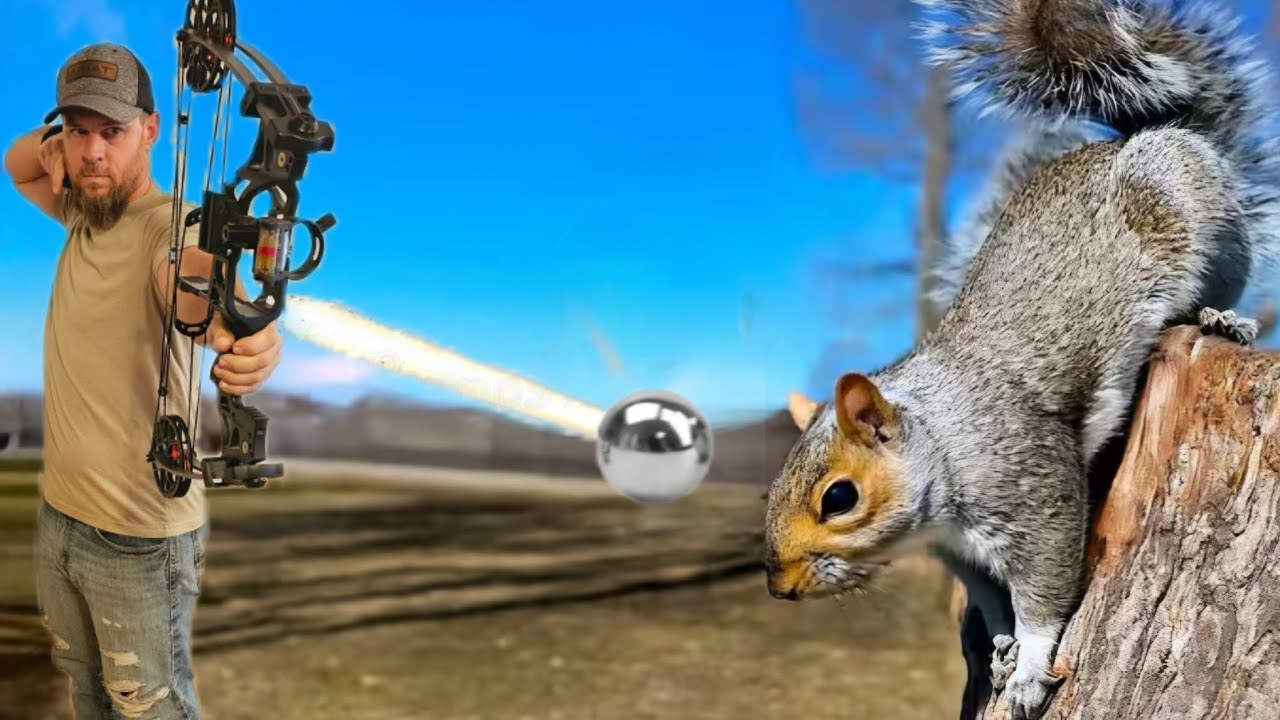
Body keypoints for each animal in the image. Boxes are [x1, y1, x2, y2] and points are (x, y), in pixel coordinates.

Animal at [763, 1, 1280, 719]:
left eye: (839, 498)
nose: (778, 587)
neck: (945, 446)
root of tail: (1143, 137)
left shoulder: (1036, 497)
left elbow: (1044, 593)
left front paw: (1032, 665)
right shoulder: (963, 557)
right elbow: (993, 601)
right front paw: (1003, 646)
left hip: (1198, 219)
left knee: (1219, 284)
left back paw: (1218, 318)